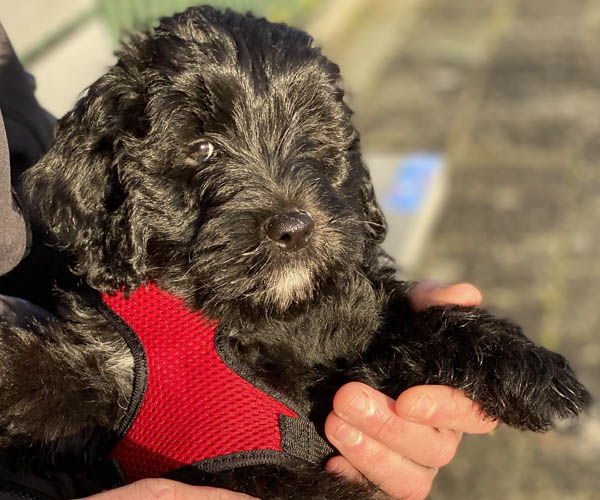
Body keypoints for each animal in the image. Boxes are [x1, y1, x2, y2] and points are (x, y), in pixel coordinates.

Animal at [0, 6, 590, 499]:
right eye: (201, 148)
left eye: (313, 136)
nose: (294, 228)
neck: (240, 316)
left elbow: (396, 317)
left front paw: (526, 366)